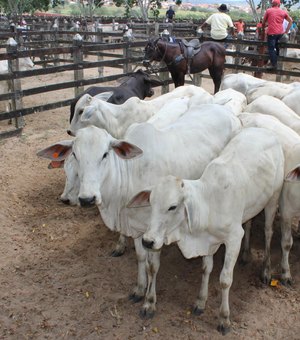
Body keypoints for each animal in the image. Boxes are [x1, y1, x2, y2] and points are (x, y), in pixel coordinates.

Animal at [37, 103, 243, 318]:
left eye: (105, 154)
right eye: (75, 155)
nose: (87, 198)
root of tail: (226, 111)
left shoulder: (155, 233)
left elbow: (152, 266)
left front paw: (149, 302)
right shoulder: (136, 228)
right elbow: (140, 258)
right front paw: (139, 289)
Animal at [127, 127, 284, 334]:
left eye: (172, 206)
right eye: (150, 202)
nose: (147, 241)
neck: (209, 202)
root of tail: (266, 131)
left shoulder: (234, 238)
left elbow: (225, 279)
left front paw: (224, 319)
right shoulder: (209, 242)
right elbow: (206, 269)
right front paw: (200, 302)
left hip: (273, 198)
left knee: (268, 231)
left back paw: (266, 271)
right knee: (249, 222)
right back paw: (246, 255)